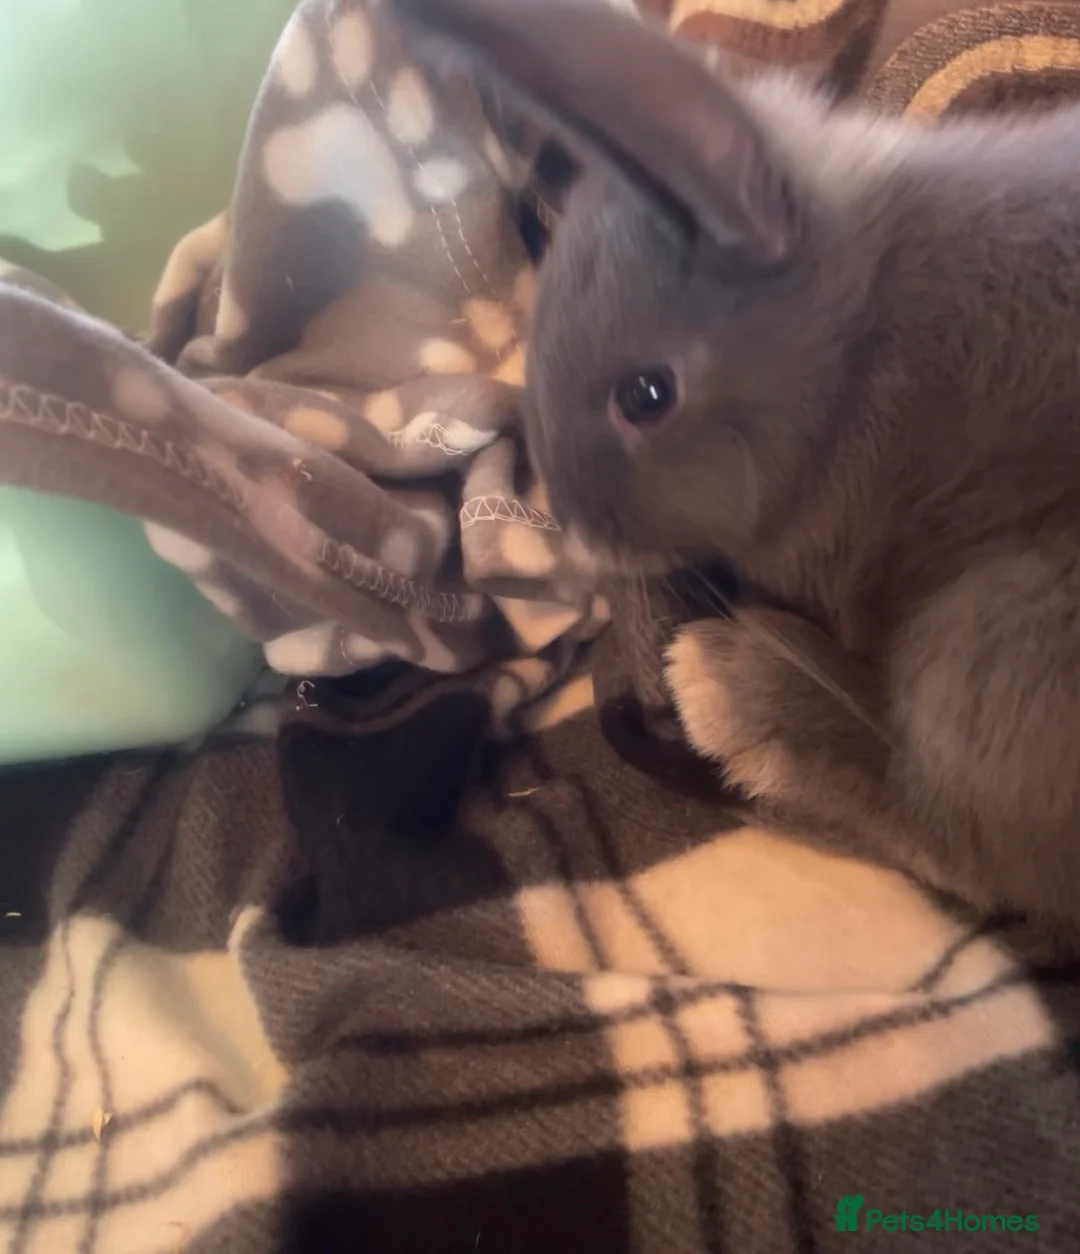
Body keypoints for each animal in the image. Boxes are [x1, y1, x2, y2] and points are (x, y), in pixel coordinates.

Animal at [388, 0, 1080, 943]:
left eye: (647, 395)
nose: (586, 536)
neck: (853, 361)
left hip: (988, 640)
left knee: (964, 844)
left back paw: (739, 693)